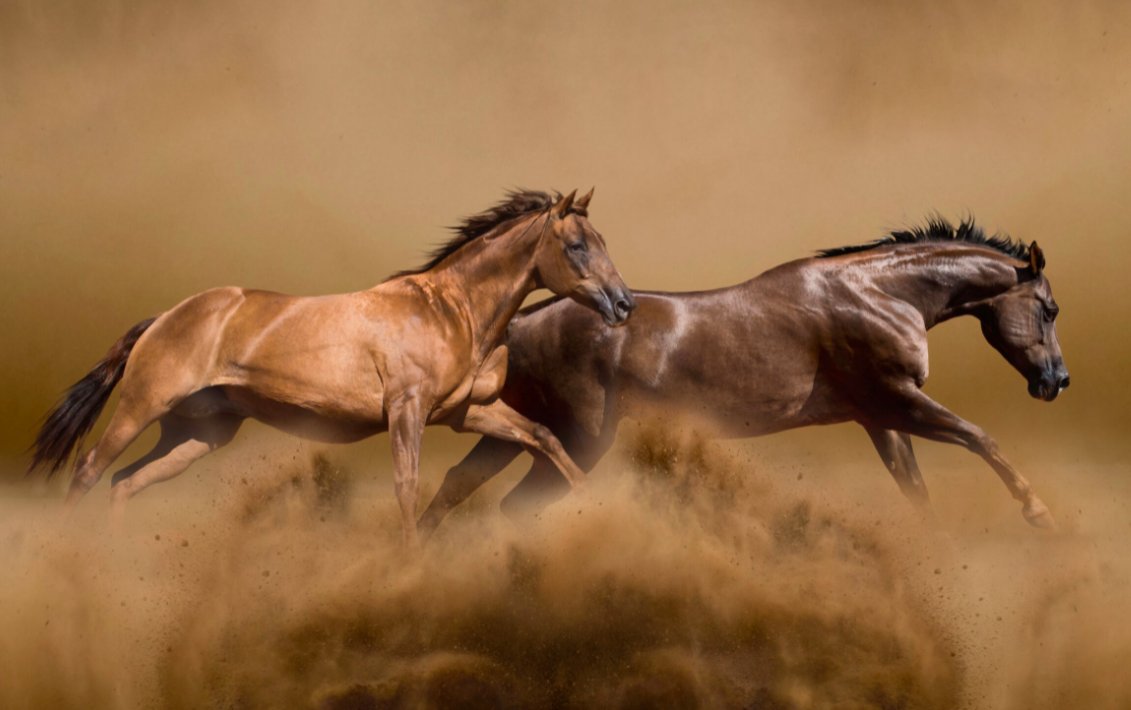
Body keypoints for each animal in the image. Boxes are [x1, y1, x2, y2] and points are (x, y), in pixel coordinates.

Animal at [30, 187, 637, 542]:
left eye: (602, 240)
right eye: (577, 245)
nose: (623, 304)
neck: (450, 308)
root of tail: (163, 318)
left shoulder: (467, 412)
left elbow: (544, 438)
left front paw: (597, 508)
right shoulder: (407, 411)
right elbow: (406, 485)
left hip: (198, 434)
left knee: (125, 483)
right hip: (142, 405)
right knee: (89, 471)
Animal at [422, 218, 1067, 533]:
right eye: (1050, 308)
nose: (1056, 381)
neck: (880, 293)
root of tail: (519, 323)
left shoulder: (880, 418)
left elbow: (915, 488)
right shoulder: (896, 401)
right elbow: (980, 437)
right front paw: (1039, 512)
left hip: (523, 432)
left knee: (455, 484)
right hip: (579, 440)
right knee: (513, 505)